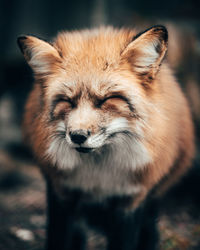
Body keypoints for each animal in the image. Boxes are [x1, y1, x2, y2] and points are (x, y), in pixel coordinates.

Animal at [18, 25, 195, 250]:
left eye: (107, 99)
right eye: (67, 101)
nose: (77, 136)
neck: (100, 177)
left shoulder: (131, 200)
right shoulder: (61, 193)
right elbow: (58, 239)